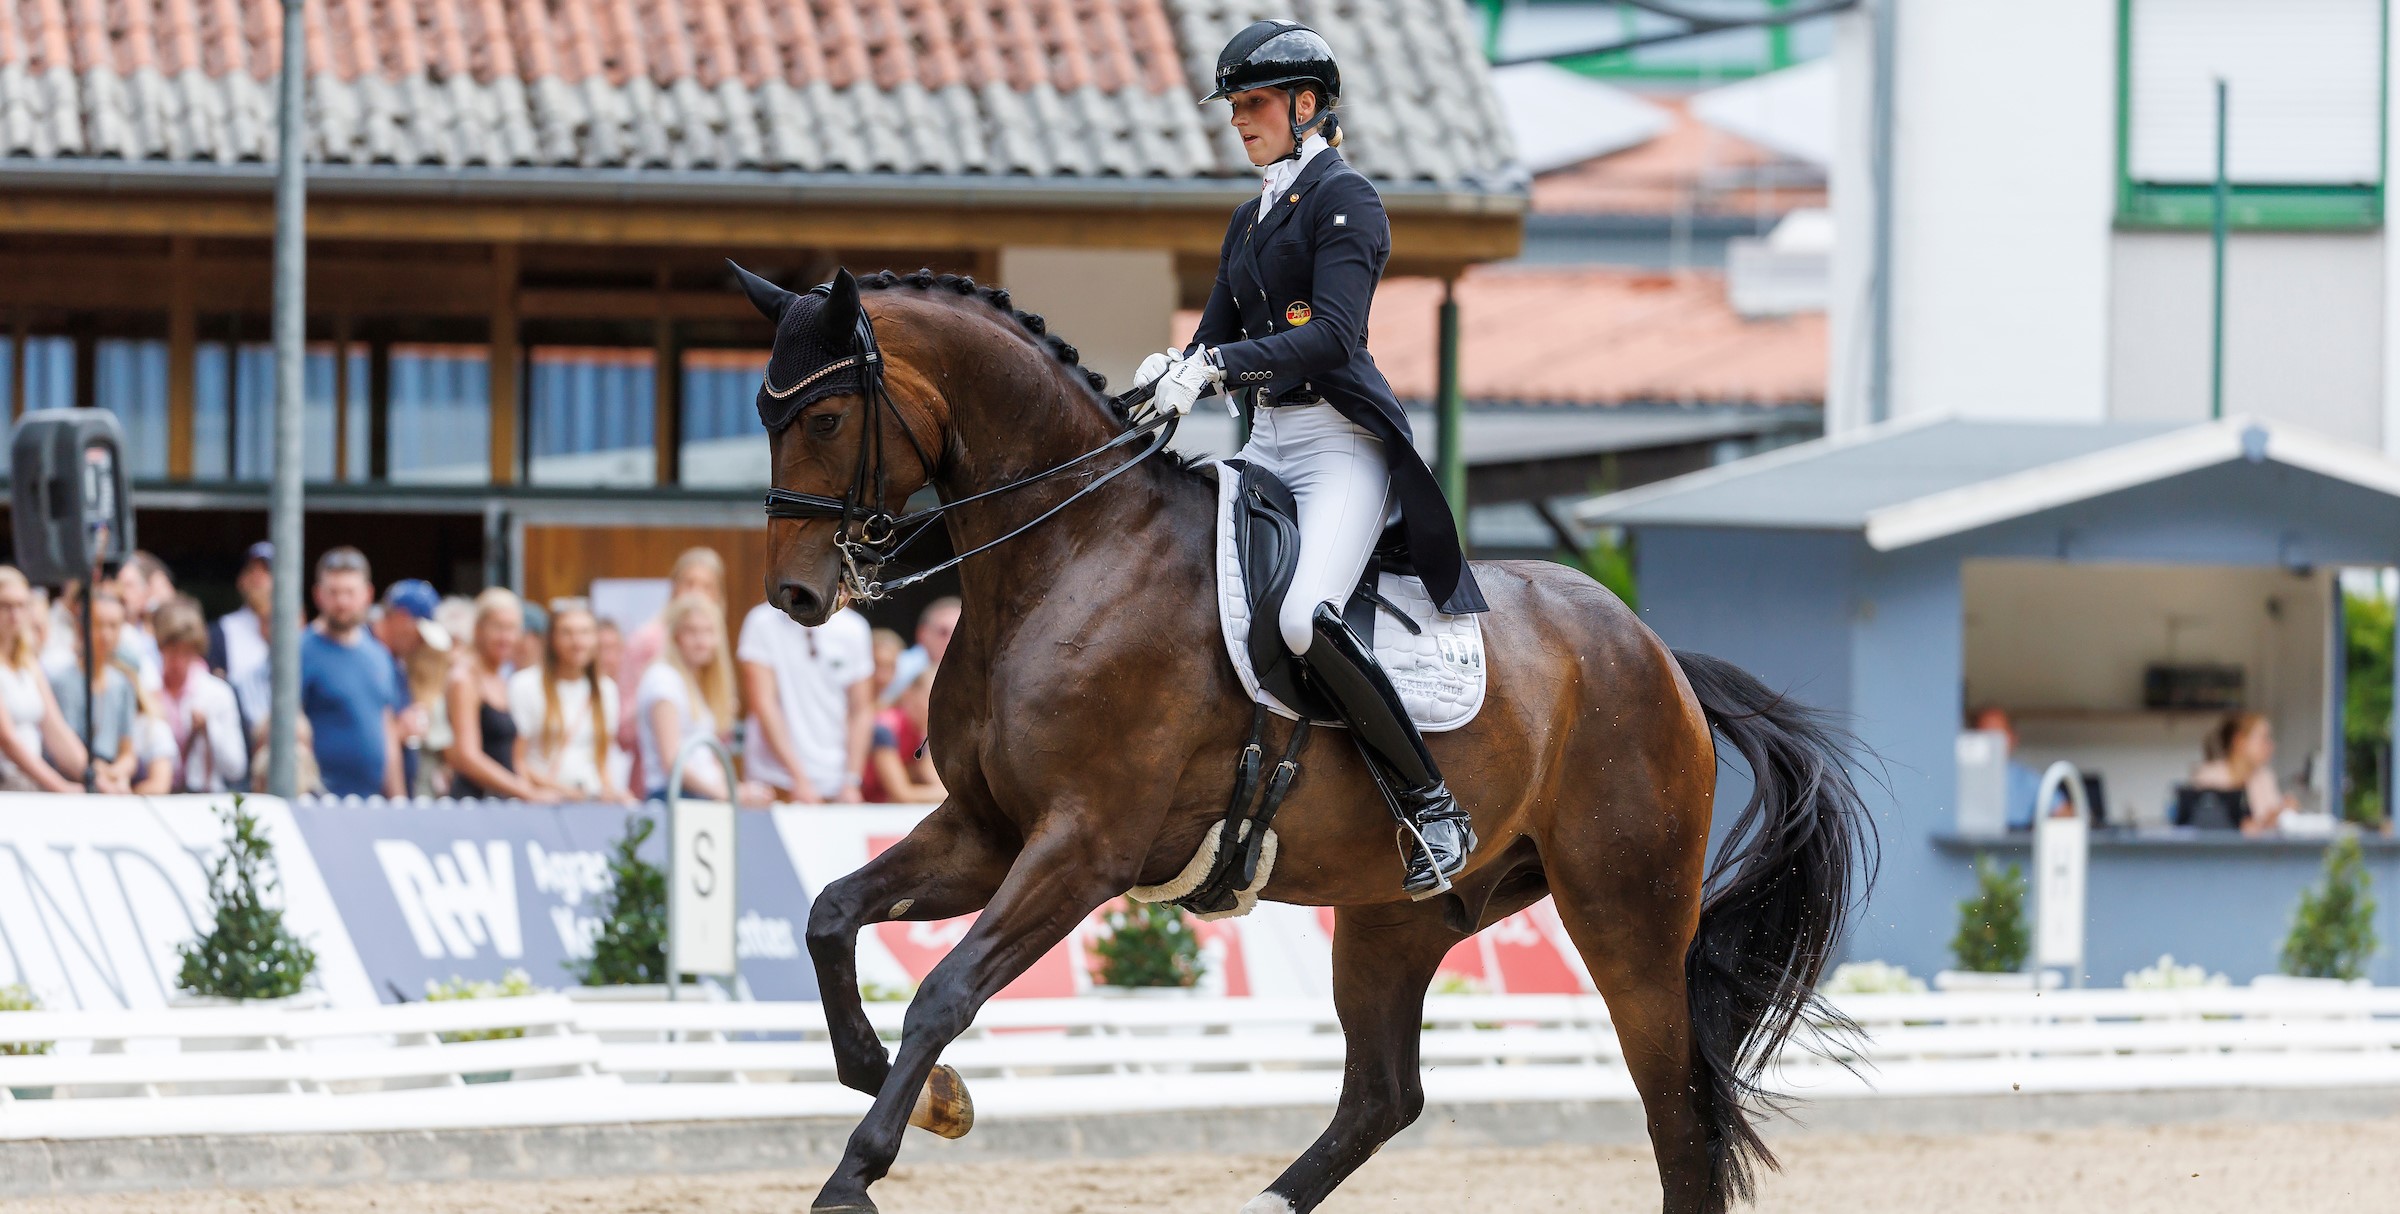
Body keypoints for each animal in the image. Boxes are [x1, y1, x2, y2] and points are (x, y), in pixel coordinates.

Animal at [748, 269, 1872, 1214]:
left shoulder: (1082, 846)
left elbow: (943, 991)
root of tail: (1659, 656)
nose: (795, 595)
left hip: (1625, 914)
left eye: (826, 415)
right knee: (1384, 1094)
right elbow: (831, 915)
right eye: (764, 412)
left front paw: (855, 1174)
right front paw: (935, 1097)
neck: (1069, 554)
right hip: (1398, 916)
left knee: (1676, 1113)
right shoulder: (986, 830)